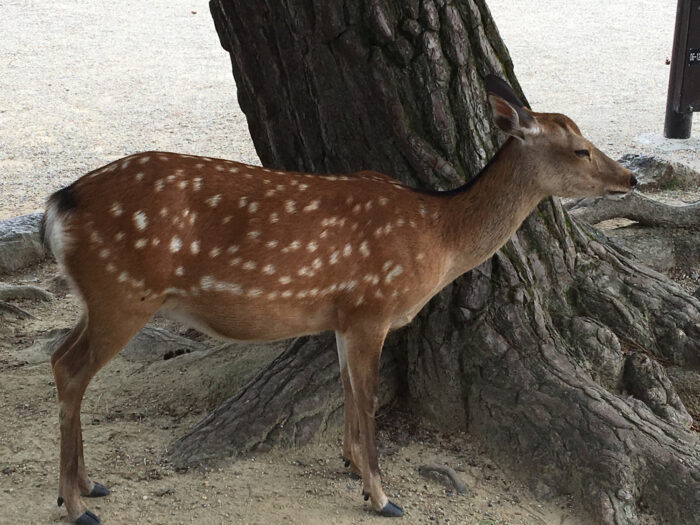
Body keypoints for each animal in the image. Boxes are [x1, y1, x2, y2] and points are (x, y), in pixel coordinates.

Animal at [42, 76, 636, 524]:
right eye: (580, 149)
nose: (629, 177)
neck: (437, 237)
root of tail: (58, 204)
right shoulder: (374, 305)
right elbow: (368, 399)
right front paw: (383, 496)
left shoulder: (344, 316)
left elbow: (350, 391)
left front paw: (351, 467)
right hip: (124, 292)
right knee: (70, 368)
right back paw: (76, 504)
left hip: (99, 297)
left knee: (58, 356)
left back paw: (89, 485)